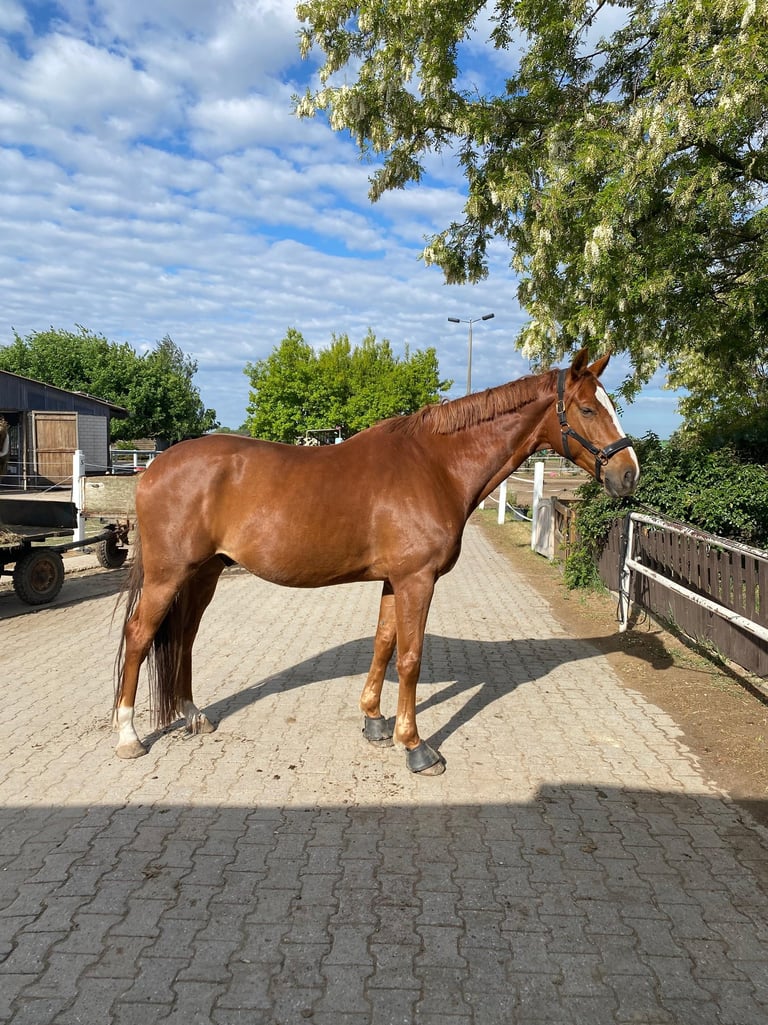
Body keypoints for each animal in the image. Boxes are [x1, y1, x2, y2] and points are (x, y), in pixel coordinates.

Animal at [114, 349, 639, 773]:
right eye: (588, 408)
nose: (628, 474)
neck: (435, 466)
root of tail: (153, 467)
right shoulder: (417, 580)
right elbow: (409, 658)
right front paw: (416, 746)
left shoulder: (394, 581)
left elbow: (384, 645)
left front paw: (374, 721)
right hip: (167, 576)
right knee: (140, 635)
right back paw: (128, 737)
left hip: (203, 574)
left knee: (183, 636)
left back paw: (192, 715)